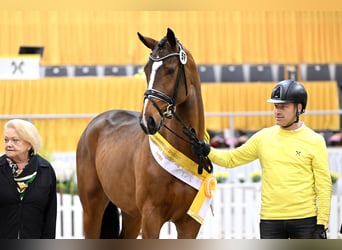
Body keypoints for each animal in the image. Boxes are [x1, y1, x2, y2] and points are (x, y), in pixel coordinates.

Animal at [76, 27, 210, 238]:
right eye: (147, 70)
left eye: (170, 70)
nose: (147, 120)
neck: (182, 150)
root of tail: (95, 123)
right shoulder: (151, 218)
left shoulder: (189, 223)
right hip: (92, 207)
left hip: (132, 214)